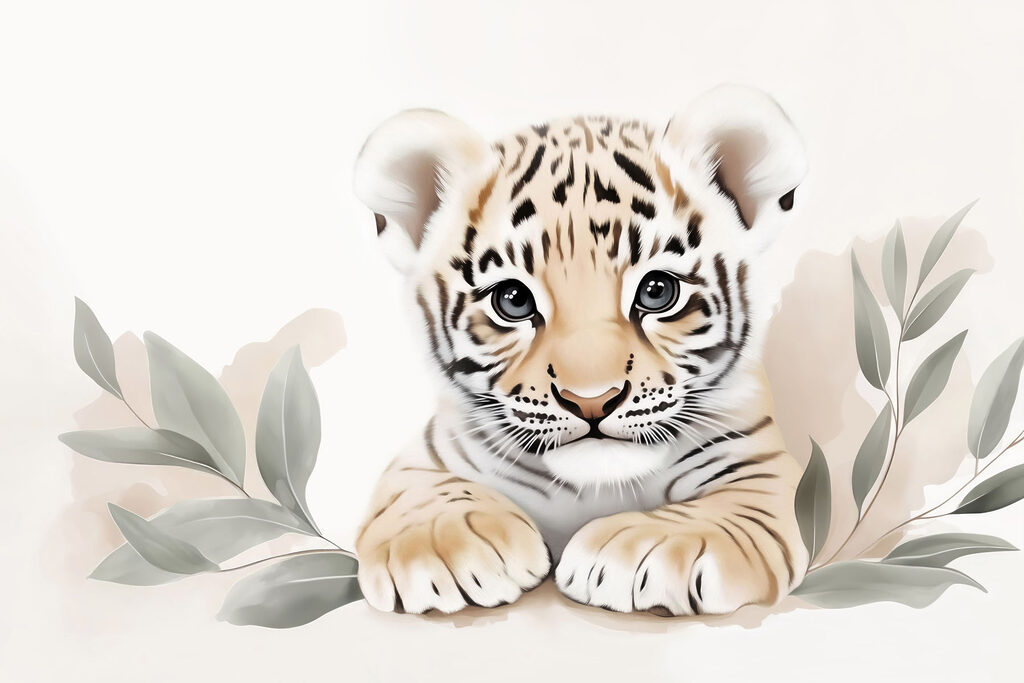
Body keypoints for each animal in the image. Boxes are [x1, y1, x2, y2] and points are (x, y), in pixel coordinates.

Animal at [351, 85, 809, 616]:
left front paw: (644, 549)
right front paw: (444, 545)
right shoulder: (430, 452)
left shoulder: (761, 467)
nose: (592, 401)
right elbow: (418, 494)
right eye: (513, 300)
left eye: (657, 291)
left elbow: (723, 512)